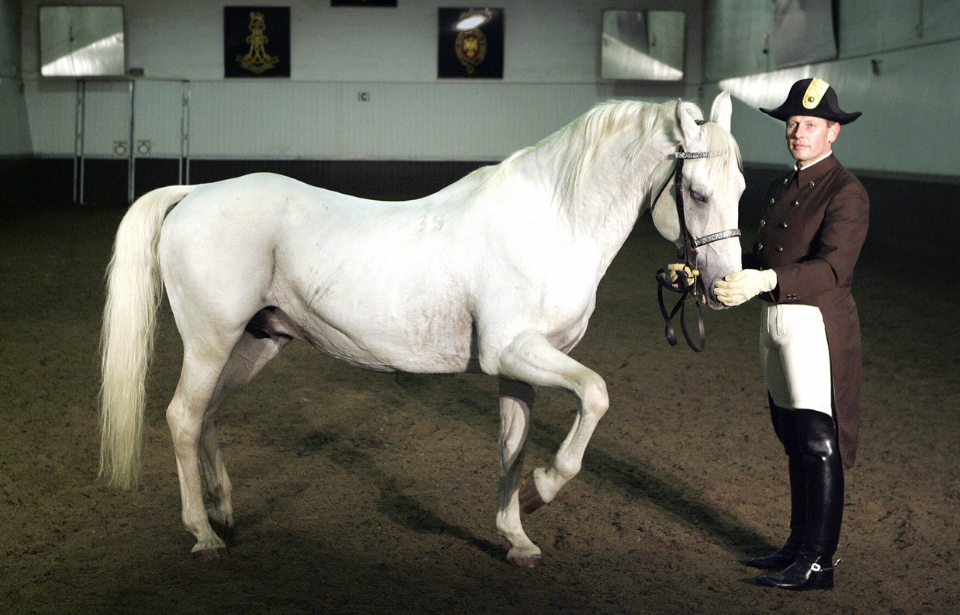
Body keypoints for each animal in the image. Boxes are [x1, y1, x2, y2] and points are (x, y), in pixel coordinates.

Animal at [99, 92, 744, 568]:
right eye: (697, 192)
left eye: (741, 188)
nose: (722, 286)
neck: (551, 221)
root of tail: (196, 193)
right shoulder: (517, 352)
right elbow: (595, 395)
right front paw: (543, 490)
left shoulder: (518, 368)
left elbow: (512, 447)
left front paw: (516, 537)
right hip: (210, 341)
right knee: (183, 417)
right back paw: (203, 534)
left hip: (257, 343)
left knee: (206, 414)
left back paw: (225, 513)